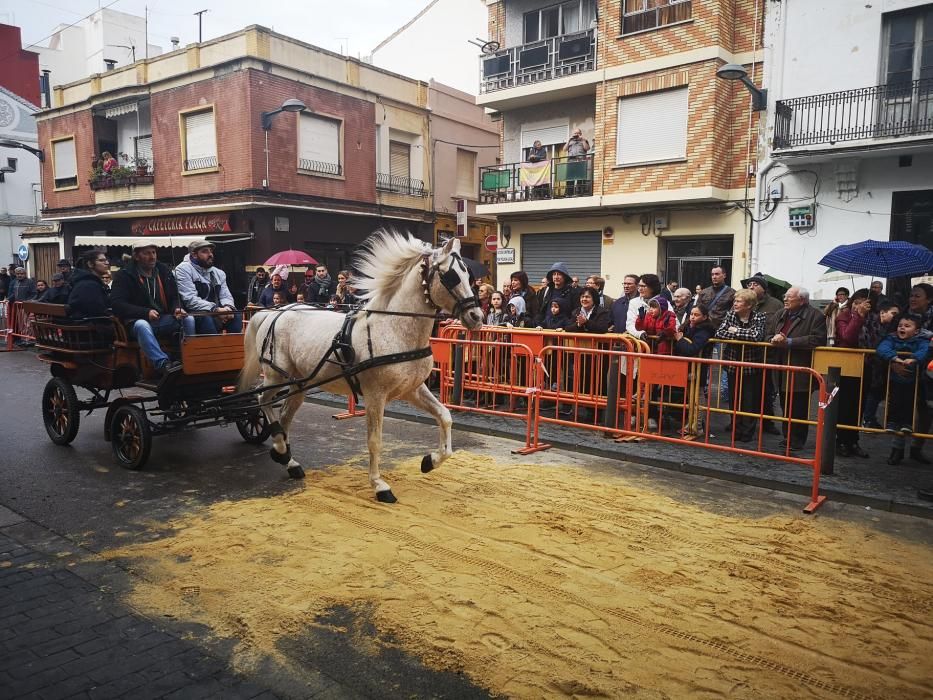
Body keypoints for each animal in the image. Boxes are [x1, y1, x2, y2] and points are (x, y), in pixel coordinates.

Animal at [237, 231, 484, 504]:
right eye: (451, 276)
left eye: (469, 275)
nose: (477, 317)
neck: (393, 328)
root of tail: (273, 312)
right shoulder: (376, 396)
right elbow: (375, 440)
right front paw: (379, 485)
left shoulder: (413, 389)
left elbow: (445, 416)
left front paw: (431, 460)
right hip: (275, 376)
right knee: (263, 400)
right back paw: (280, 448)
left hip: (299, 383)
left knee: (284, 416)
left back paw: (287, 458)